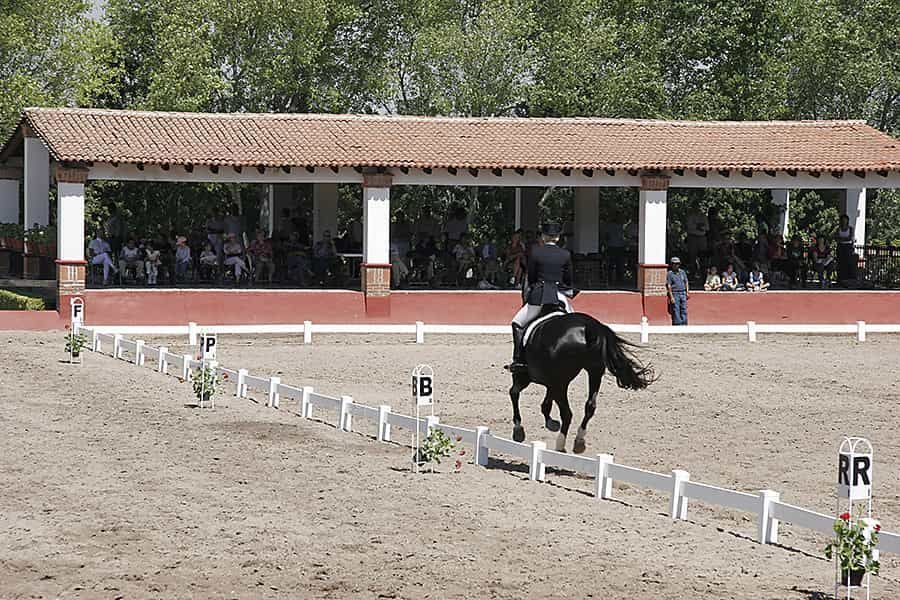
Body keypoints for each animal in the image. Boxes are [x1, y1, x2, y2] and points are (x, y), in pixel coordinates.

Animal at [510, 312, 652, 452]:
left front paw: (518, 429)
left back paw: (560, 445)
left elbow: (514, 393)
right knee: (590, 406)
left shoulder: (526, 379)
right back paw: (579, 440)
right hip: (594, 372)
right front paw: (550, 422)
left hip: (559, 381)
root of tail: (588, 327)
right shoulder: (554, 382)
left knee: (567, 414)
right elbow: (546, 399)